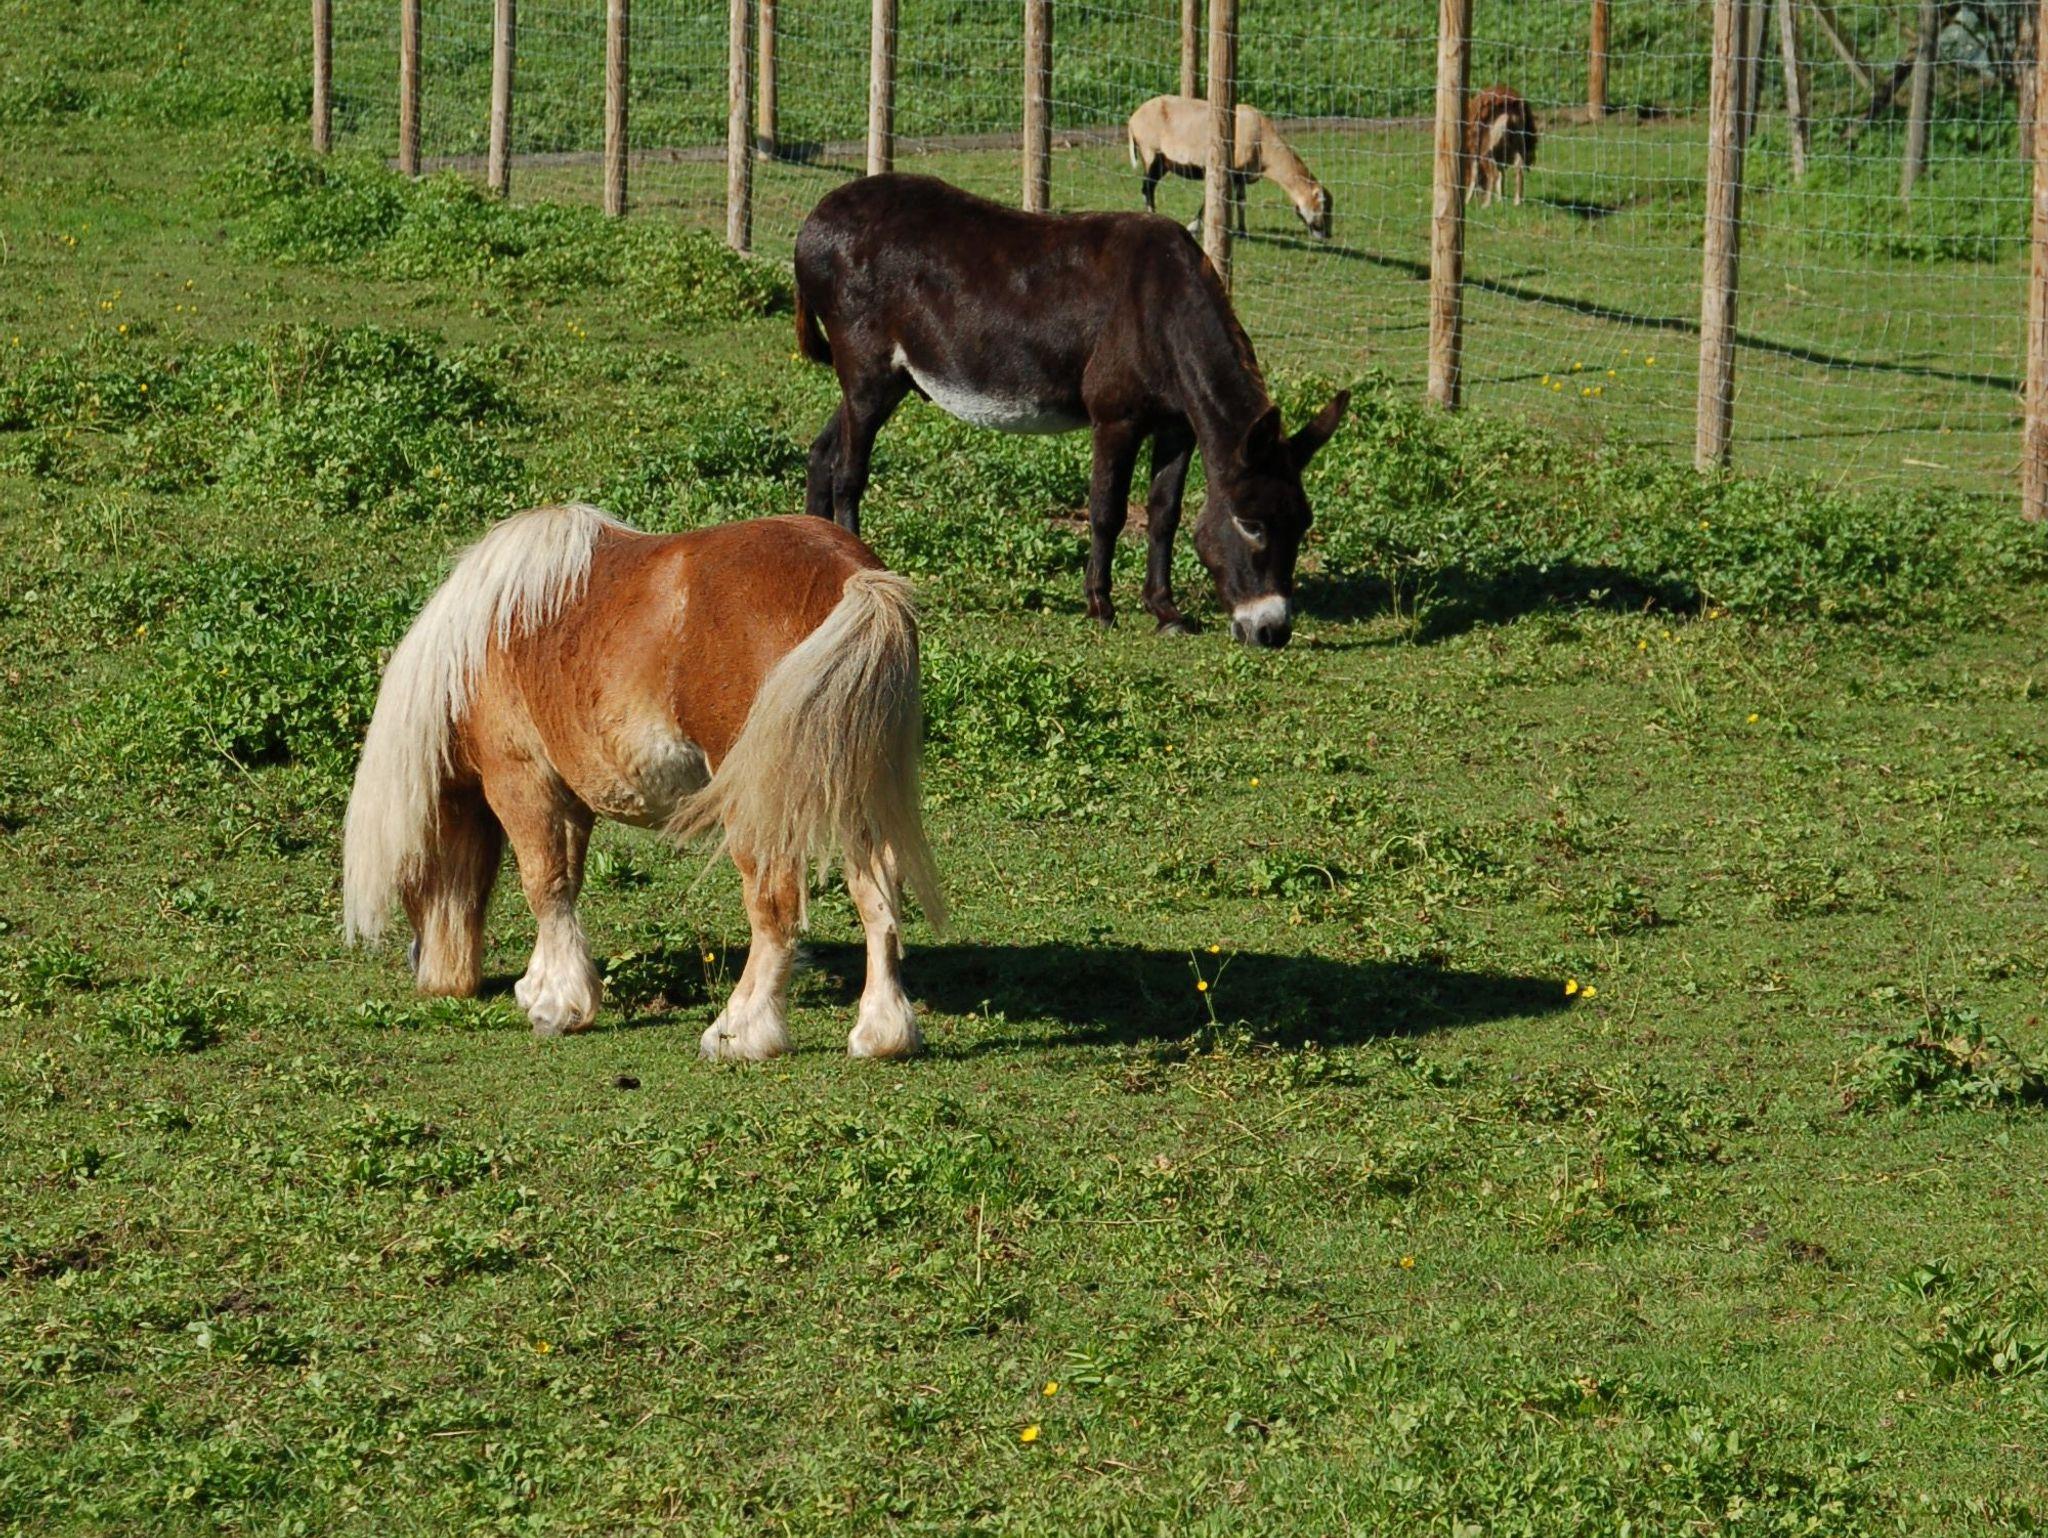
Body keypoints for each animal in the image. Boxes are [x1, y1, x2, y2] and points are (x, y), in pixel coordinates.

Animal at [341, 505, 946, 1061]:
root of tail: (850, 576)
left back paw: (739, 1033)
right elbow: (565, 883)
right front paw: (544, 985)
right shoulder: (571, 797)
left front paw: (558, 1005)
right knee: (878, 894)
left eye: (408, 875)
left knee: (774, 905)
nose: (424, 968)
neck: (482, 642)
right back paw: (883, 1033)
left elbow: (543, 884)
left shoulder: (522, 779)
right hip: (856, 792)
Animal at [794, 174, 1348, 650]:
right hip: (867, 371)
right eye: (1251, 524)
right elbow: (1108, 511)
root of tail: (816, 216)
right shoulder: (1116, 418)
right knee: (849, 472)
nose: (1272, 633)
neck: (1165, 309)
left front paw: (1165, 611)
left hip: (887, 382)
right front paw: (1100, 605)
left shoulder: (1177, 426)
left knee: (822, 453)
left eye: (1303, 524)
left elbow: (1164, 515)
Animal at [1127, 95, 1333, 242]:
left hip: (1163, 163)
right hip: (1152, 155)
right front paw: (1194, 227)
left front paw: (1242, 232)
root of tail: (1133, 120)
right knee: (1147, 187)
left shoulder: (1241, 176)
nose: (1326, 234)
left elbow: (1241, 201)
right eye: (1323, 204)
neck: (1260, 137)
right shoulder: (1226, 172)